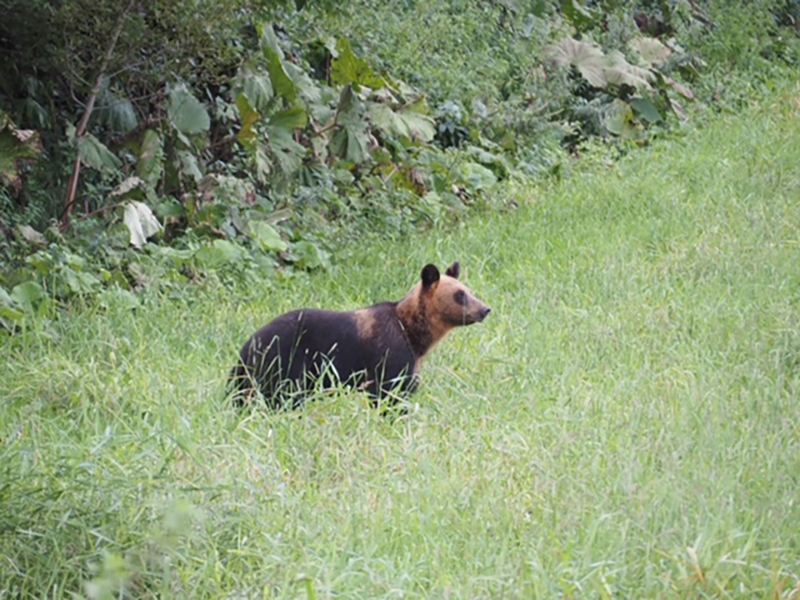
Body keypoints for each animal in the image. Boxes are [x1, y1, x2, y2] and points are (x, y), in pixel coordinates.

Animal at [228, 260, 490, 410]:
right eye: (460, 295)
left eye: (470, 291)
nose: (485, 309)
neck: (415, 335)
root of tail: (247, 346)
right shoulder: (390, 359)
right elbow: (388, 397)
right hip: (285, 363)